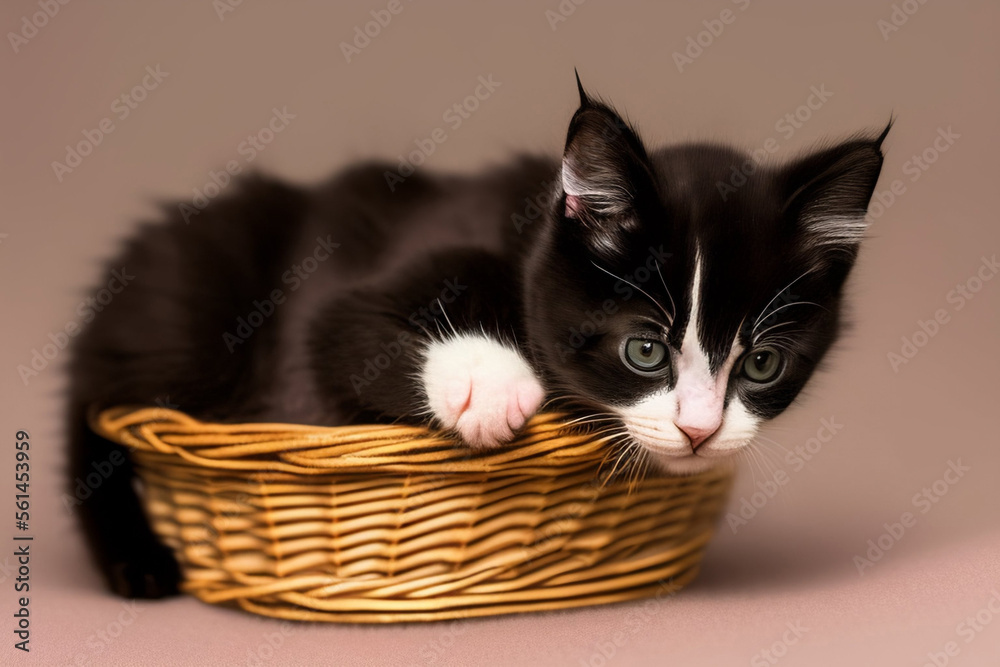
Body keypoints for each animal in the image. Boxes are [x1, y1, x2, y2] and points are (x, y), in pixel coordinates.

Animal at [66, 79, 888, 600]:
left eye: (762, 363)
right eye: (644, 350)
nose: (699, 428)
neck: (521, 238)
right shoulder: (335, 301)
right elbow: (335, 327)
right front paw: (492, 385)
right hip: (186, 306)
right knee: (91, 406)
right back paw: (136, 562)